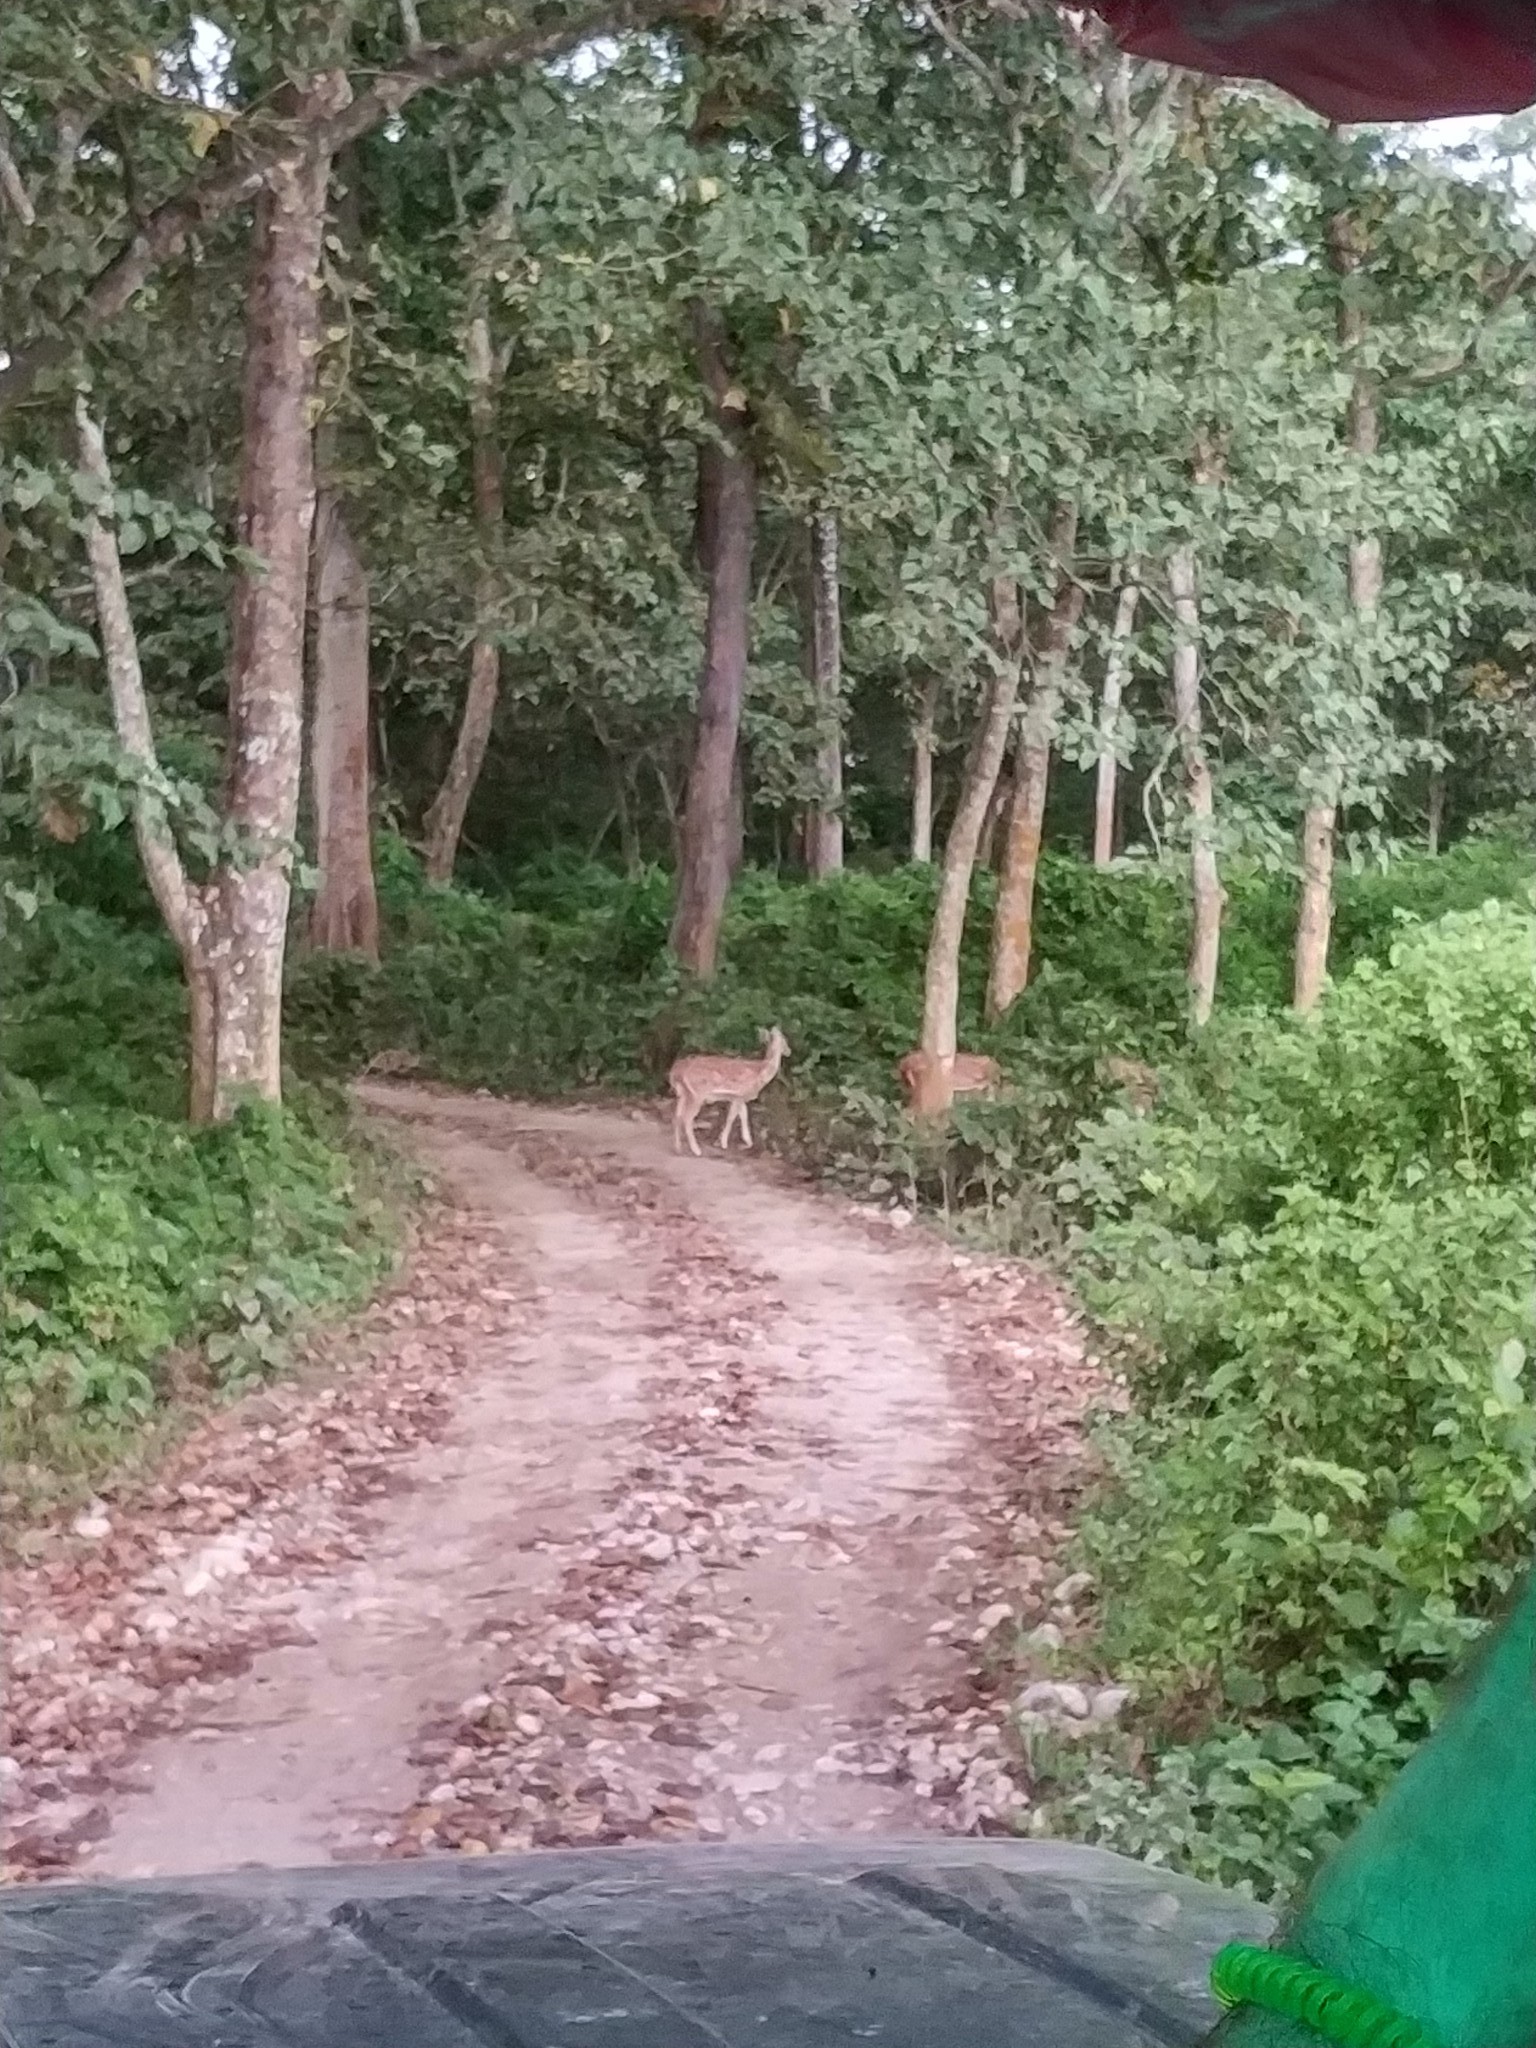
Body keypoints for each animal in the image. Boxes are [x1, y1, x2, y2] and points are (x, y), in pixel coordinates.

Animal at [671, 1024, 794, 1155]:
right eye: (784, 1040)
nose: (789, 1051)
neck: (760, 1073)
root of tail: (675, 1072)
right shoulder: (739, 1095)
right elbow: (732, 1117)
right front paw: (723, 1143)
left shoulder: (739, 1098)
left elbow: (743, 1115)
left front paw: (746, 1143)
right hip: (697, 1094)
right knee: (687, 1118)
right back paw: (696, 1150)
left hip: (684, 1093)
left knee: (677, 1115)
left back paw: (678, 1147)